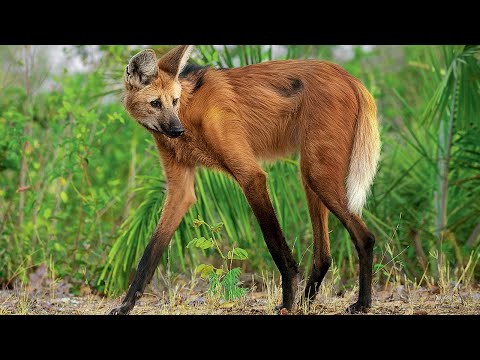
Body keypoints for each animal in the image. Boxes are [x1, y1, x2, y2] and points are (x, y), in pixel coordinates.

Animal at [110, 45, 380, 316]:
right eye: (155, 103)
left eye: (173, 101)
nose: (177, 130)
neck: (189, 112)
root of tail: (351, 78)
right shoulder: (180, 190)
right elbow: (150, 253)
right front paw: (126, 305)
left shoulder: (251, 177)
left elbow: (273, 242)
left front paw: (286, 302)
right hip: (310, 175)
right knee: (324, 254)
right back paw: (307, 302)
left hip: (318, 175)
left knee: (365, 237)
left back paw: (362, 303)